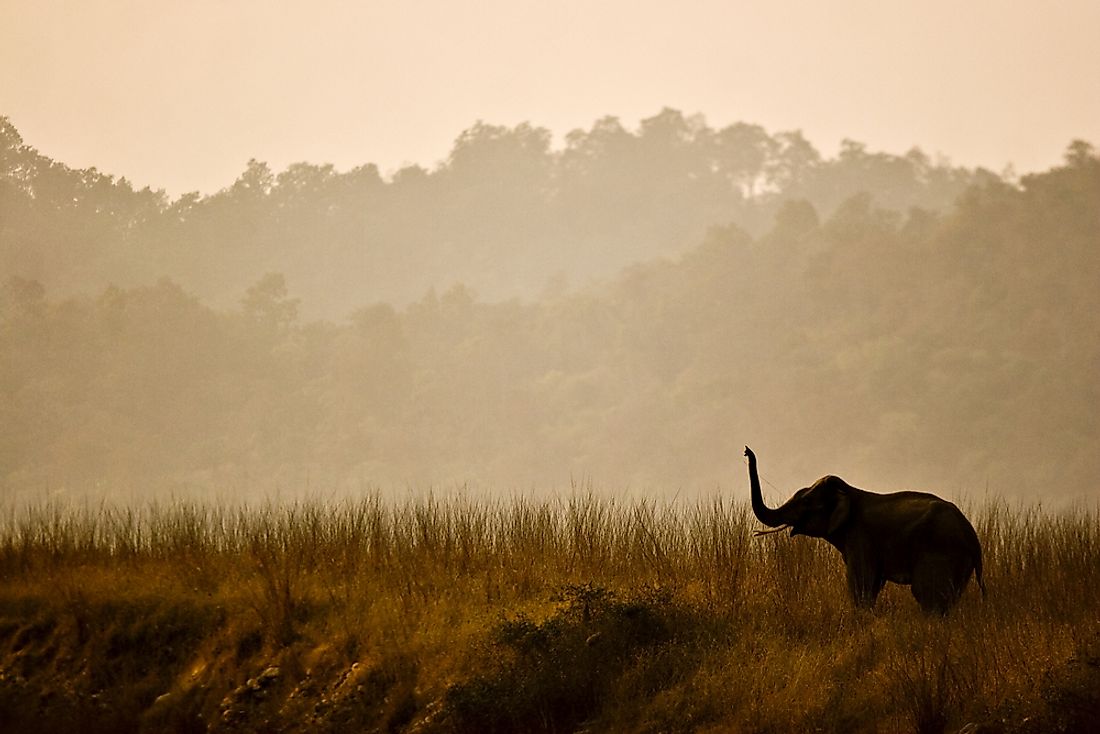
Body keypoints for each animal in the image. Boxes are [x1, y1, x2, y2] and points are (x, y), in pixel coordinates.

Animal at [743, 448, 985, 616]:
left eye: (806, 503)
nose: (747, 451)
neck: (849, 491)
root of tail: (973, 538)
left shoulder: (860, 536)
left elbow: (861, 582)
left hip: (941, 551)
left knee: (927, 594)